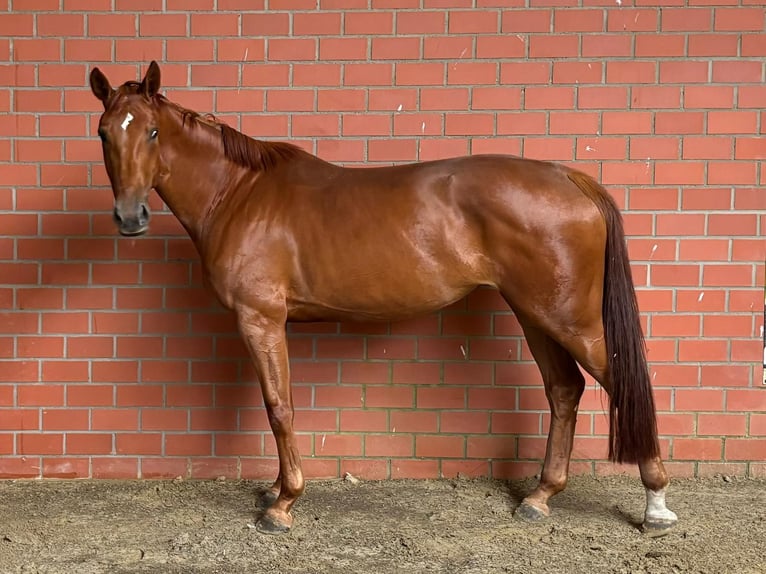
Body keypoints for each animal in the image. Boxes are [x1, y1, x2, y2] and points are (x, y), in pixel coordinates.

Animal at [90, 62, 680, 536]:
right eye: (102, 133)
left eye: (152, 131)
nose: (130, 217)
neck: (239, 195)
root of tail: (568, 176)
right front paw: (276, 491)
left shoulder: (261, 320)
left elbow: (279, 407)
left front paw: (282, 504)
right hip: (535, 314)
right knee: (563, 390)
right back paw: (539, 497)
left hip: (569, 319)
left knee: (621, 381)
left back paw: (655, 504)